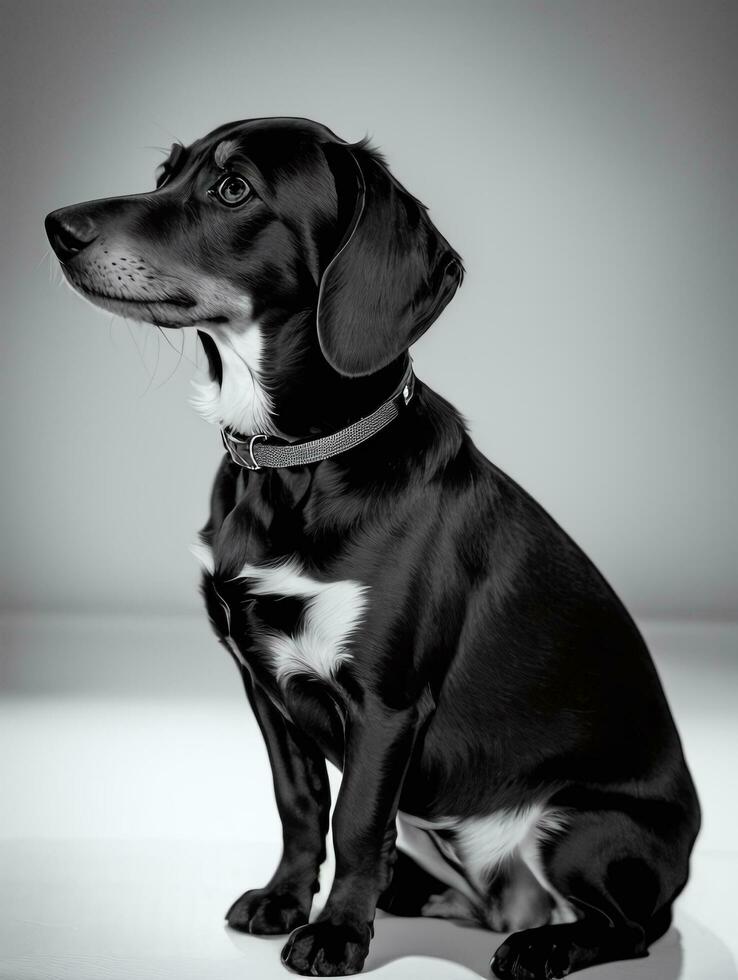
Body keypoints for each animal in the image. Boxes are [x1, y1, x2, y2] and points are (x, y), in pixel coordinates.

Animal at [44, 118, 696, 976]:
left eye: (232, 188)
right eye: (165, 173)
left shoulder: (385, 702)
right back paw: (421, 897)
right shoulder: (264, 685)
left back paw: (542, 945)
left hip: (584, 830)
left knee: (633, 927)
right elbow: (301, 807)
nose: (57, 228)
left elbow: (354, 820)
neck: (295, 466)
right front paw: (286, 901)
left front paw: (335, 933)